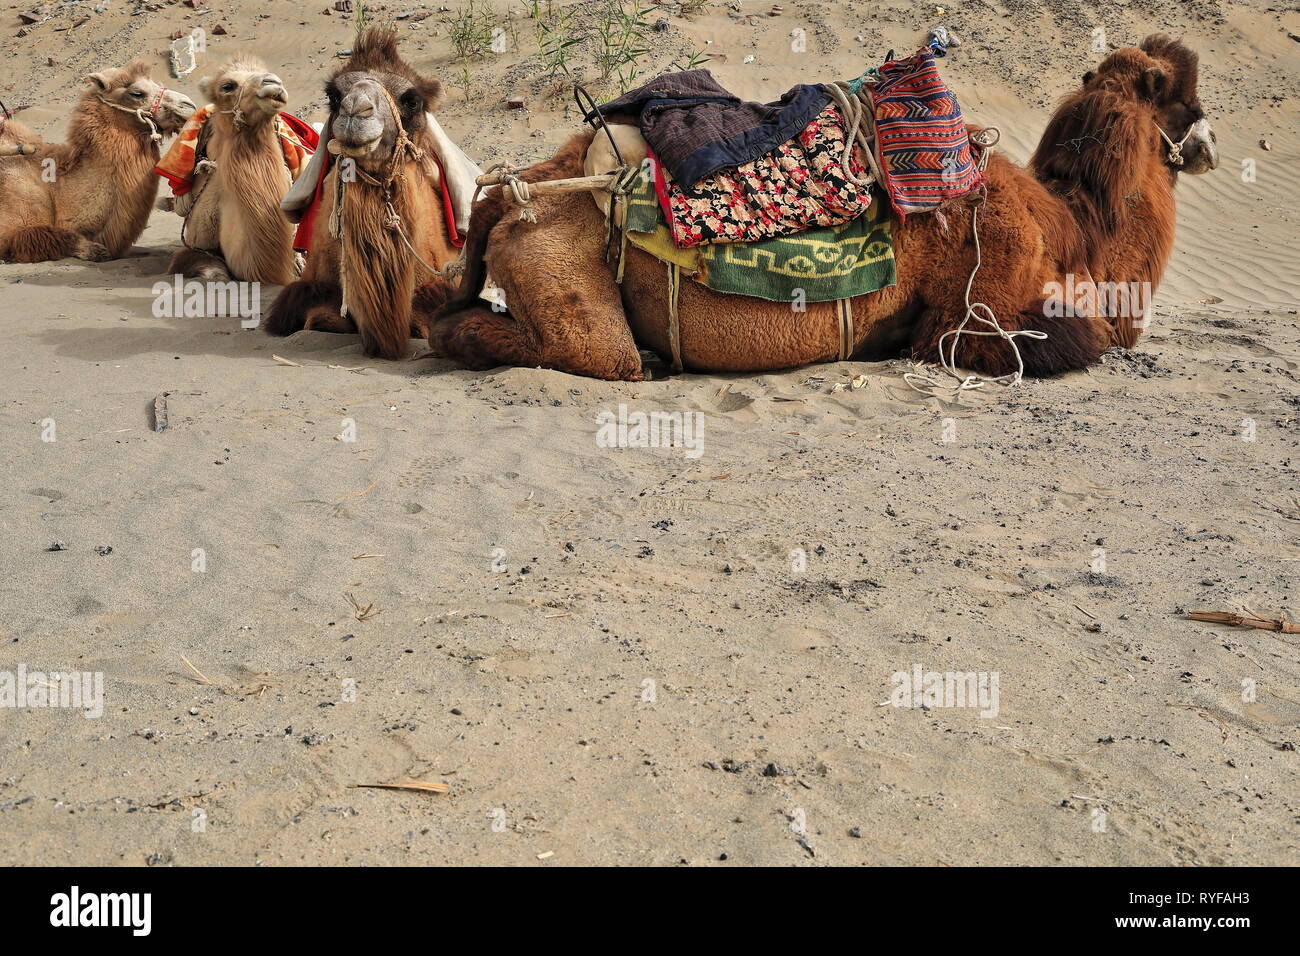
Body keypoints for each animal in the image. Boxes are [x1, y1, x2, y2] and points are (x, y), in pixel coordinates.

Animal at [428, 36, 1216, 382]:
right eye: (1183, 101)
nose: (1210, 142)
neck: (1071, 231)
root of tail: (516, 188)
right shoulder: (971, 317)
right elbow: (1080, 340)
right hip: (561, 263)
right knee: (575, 351)